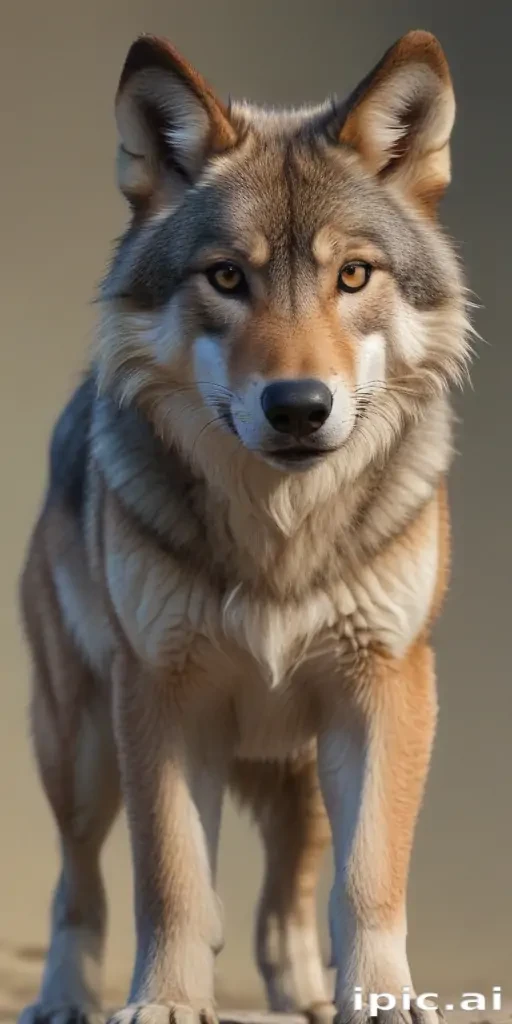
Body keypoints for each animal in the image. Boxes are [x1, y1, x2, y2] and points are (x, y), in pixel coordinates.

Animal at [19, 28, 471, 1024]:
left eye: (353, 275)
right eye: (228, 276)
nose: (299, 406)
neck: (280, 541)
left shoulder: (384, 688)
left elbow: (367, 879)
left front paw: (380, 1000)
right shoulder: (161, 693)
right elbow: (171, 878)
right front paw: (163, 1001)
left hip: (296, 757)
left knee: (290, 892)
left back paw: (303, 991)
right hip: (80, 747)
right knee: (79, 884)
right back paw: (66, 996)